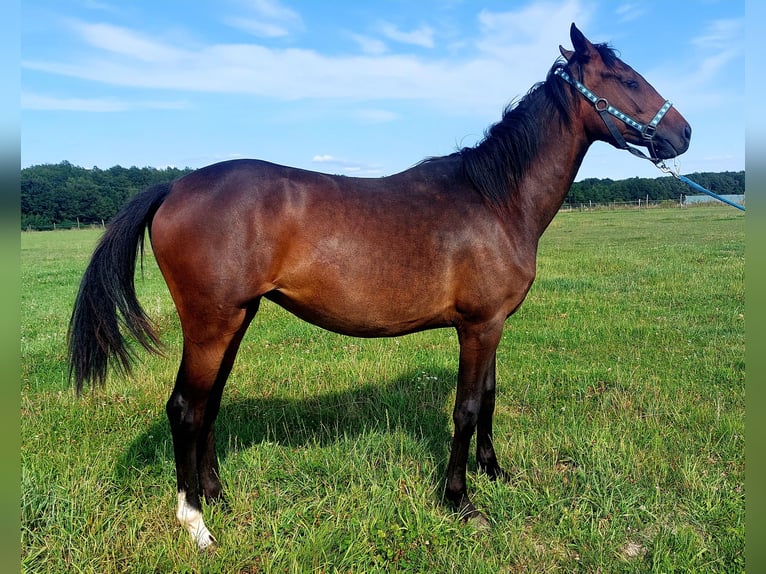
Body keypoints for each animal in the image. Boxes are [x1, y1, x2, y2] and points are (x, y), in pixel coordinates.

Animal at [70, 24, 696, 552]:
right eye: (627, 79)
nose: (684, 132)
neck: (496, 200)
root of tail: (175, 186)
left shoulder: (493, 324)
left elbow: (490, 398)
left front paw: (496, 472)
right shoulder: (478, 326)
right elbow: (467, 407)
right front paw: (460, 501)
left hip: (235, 320)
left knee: (208, 407)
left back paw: (220, 498)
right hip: (211, 323)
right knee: (185, 408)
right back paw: (196, 523)